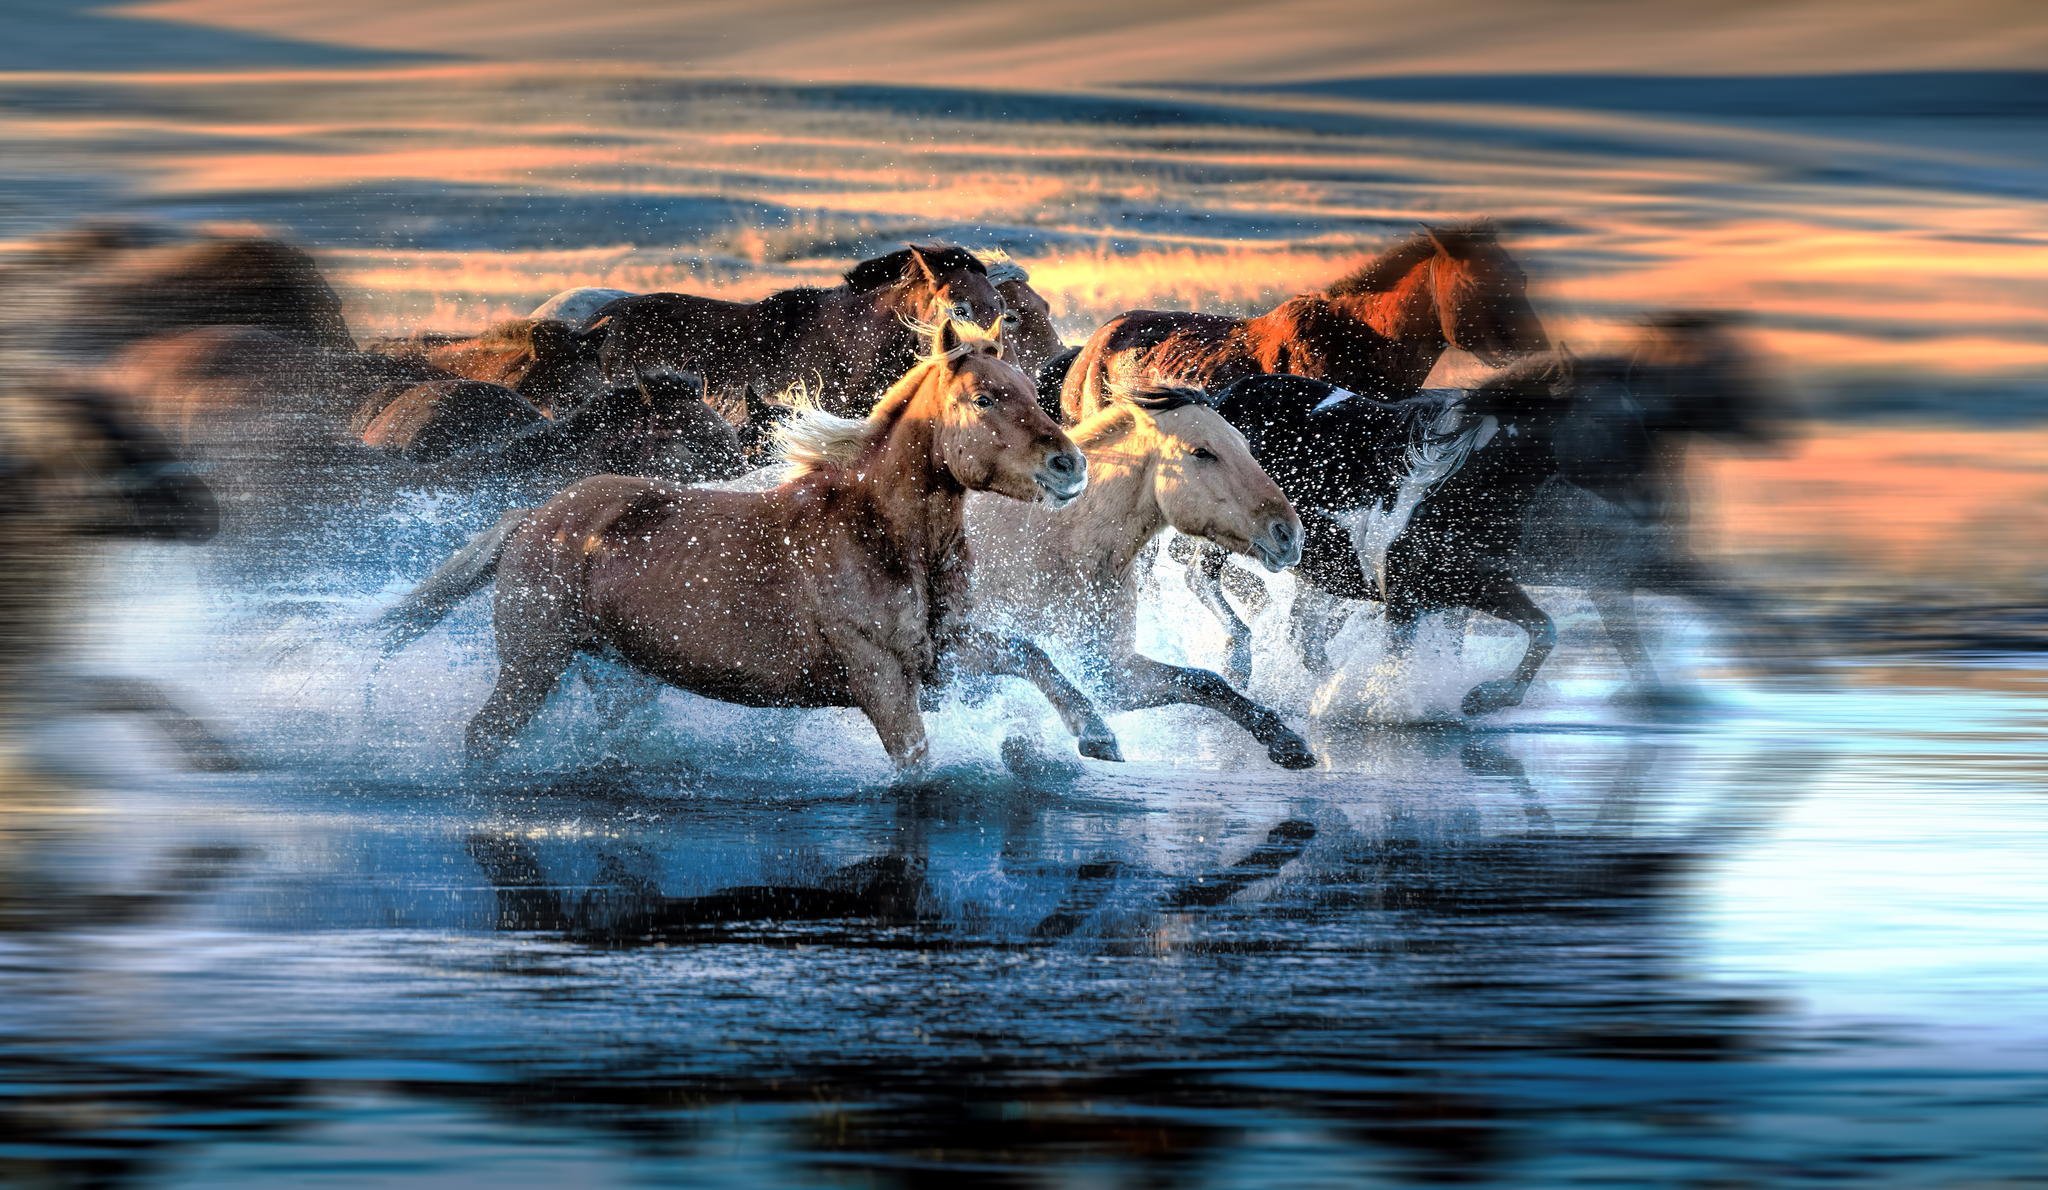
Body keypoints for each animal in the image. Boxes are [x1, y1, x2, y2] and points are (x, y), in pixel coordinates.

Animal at [378, 314, 1119, 775]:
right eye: (983, 399)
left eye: (1031, 391)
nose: (1070, 466)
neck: (883, 536)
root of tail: (534, 517)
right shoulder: (879, 677)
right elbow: (916, 763)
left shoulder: (943, 655)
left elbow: (1032, 655)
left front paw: (1100, 737)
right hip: (532, 667)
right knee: (482, 736)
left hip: (619, 680)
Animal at [965, 384, 1314, 768]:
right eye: (1202, 452)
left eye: (1245, 445)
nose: (1290, 535)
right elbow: (1028, 655)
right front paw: (1096, 733)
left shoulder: (1109, 670)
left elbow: (1205, 682)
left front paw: (1285, 739)